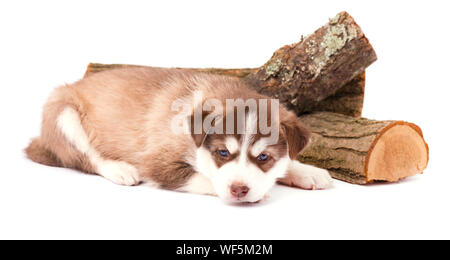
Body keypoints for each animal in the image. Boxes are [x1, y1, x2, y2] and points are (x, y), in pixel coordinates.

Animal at [26, 67, 332, 203]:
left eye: (264, 157)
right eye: (223, 153)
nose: (239, 190)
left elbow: (288, 161)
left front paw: (307, 171)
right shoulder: (156, 162)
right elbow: (204, 178)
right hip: (63, 112)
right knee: (85, 157)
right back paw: (118, 168)